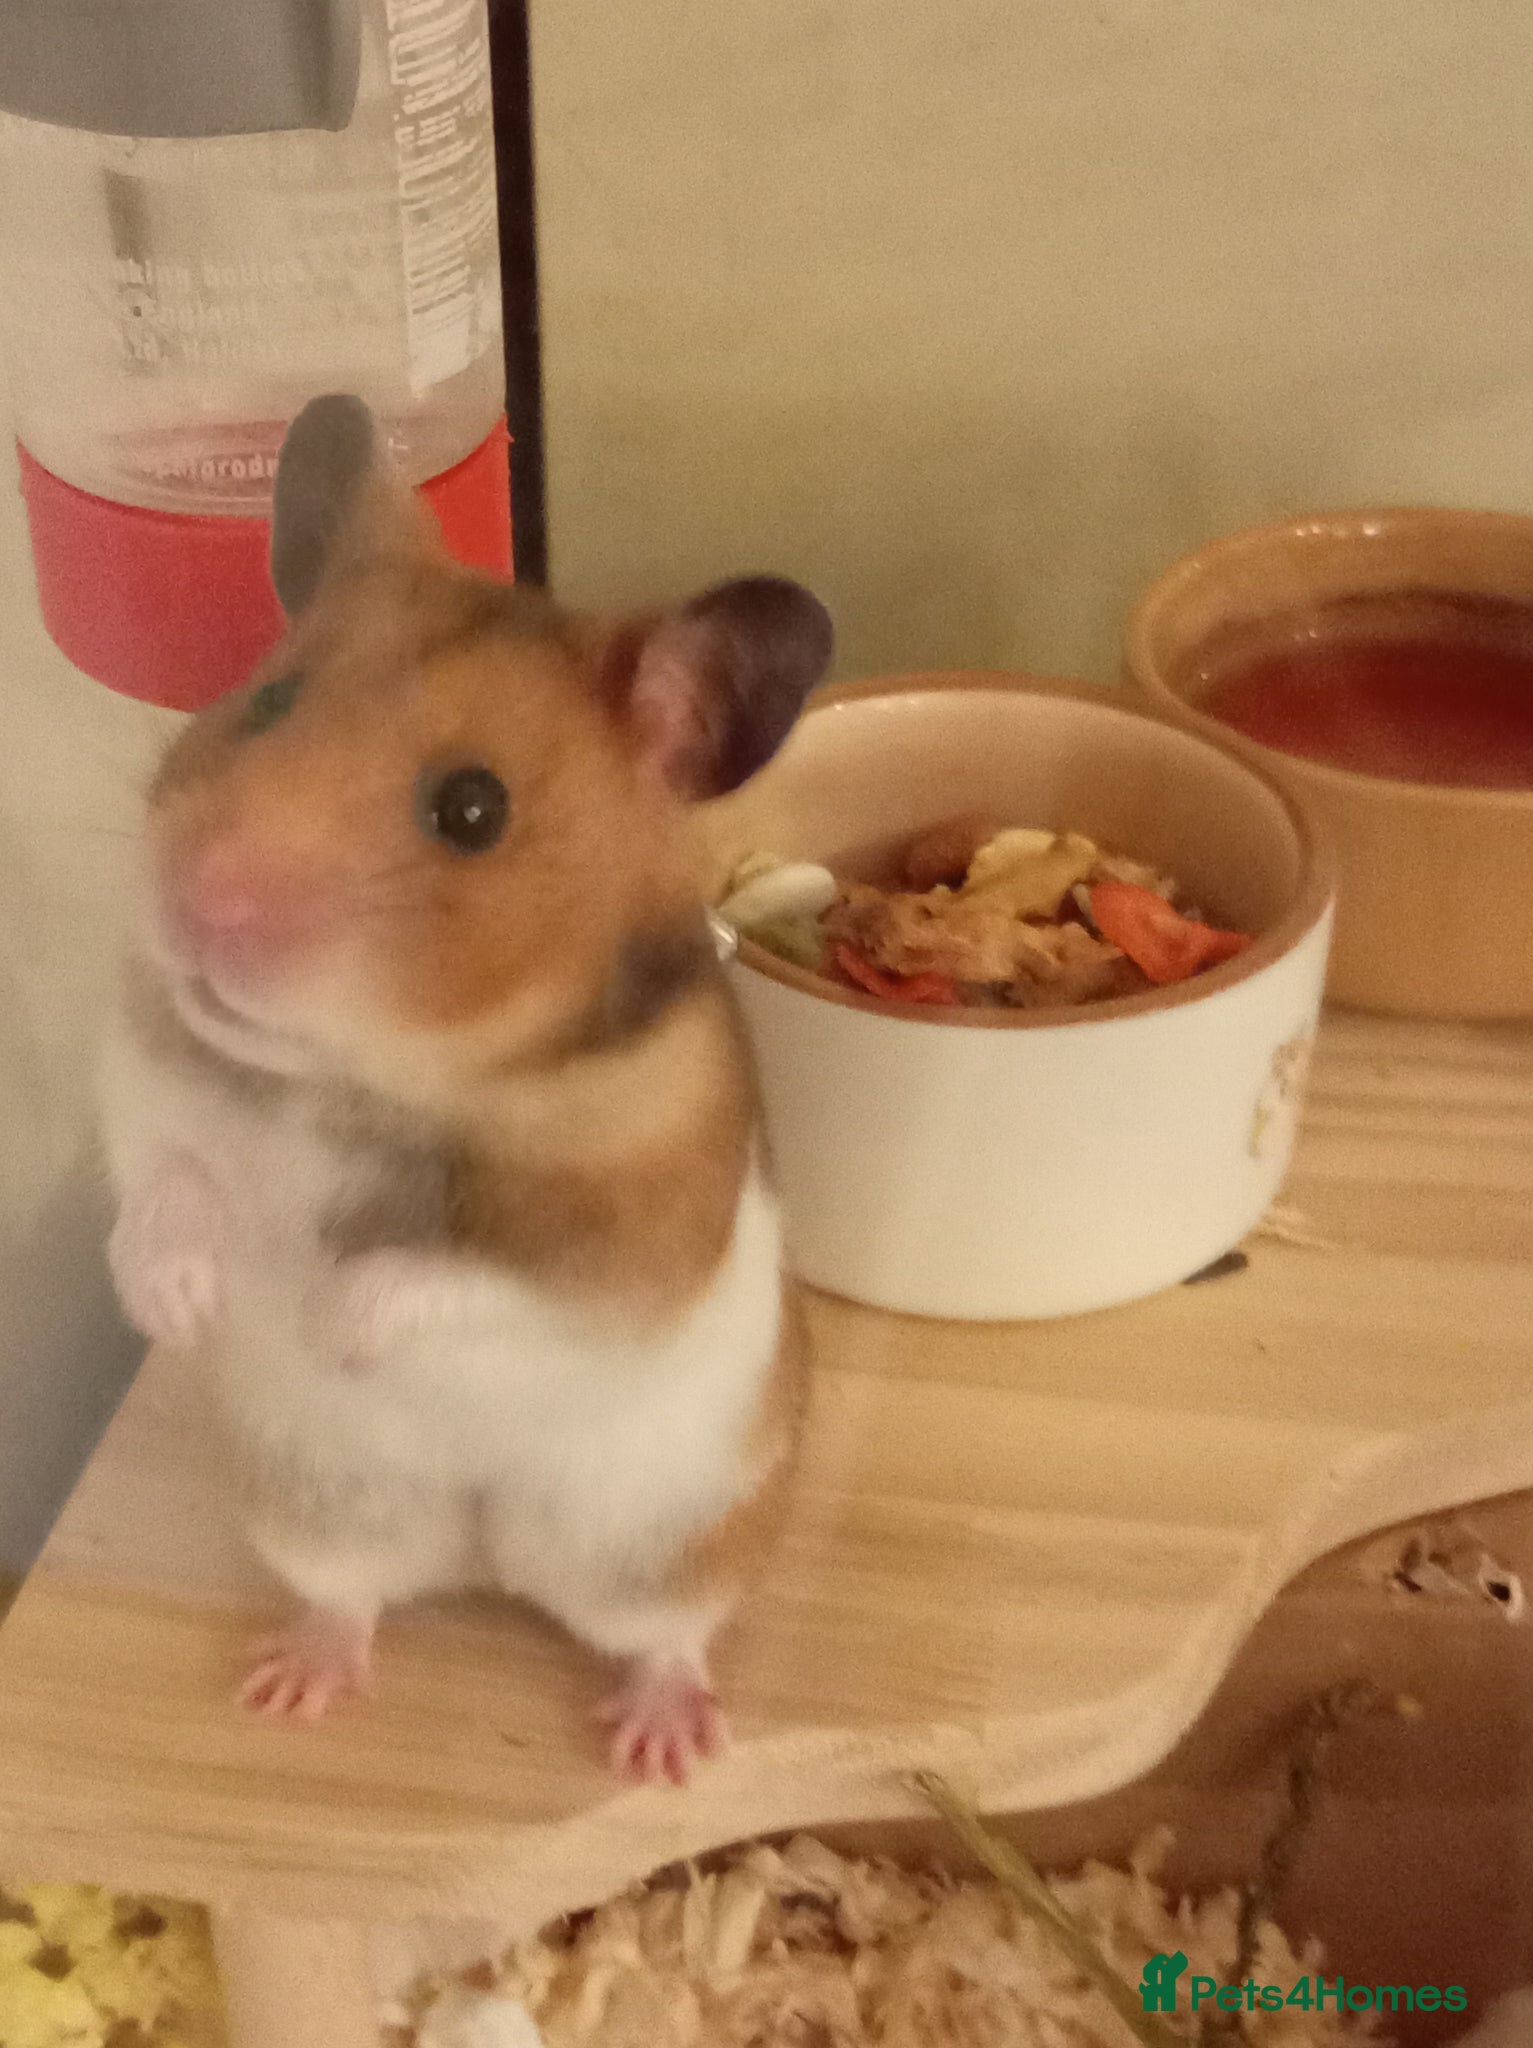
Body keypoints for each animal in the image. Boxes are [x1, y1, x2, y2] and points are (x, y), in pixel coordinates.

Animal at [98, 395, 831, 1785]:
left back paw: (665, 1746)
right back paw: (289, 1686)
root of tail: (489, 1555)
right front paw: (185, 1304)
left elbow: (449, 1273)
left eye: (473, 808)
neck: (364, 1081)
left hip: (671, 1539)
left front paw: (328, 1320)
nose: (201, 904)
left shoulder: (630, 1250)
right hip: (321, 1507)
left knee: (665, 1634)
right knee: (351, 1596)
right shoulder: (148, 1100)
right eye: (268, 699)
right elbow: (158, 1192)